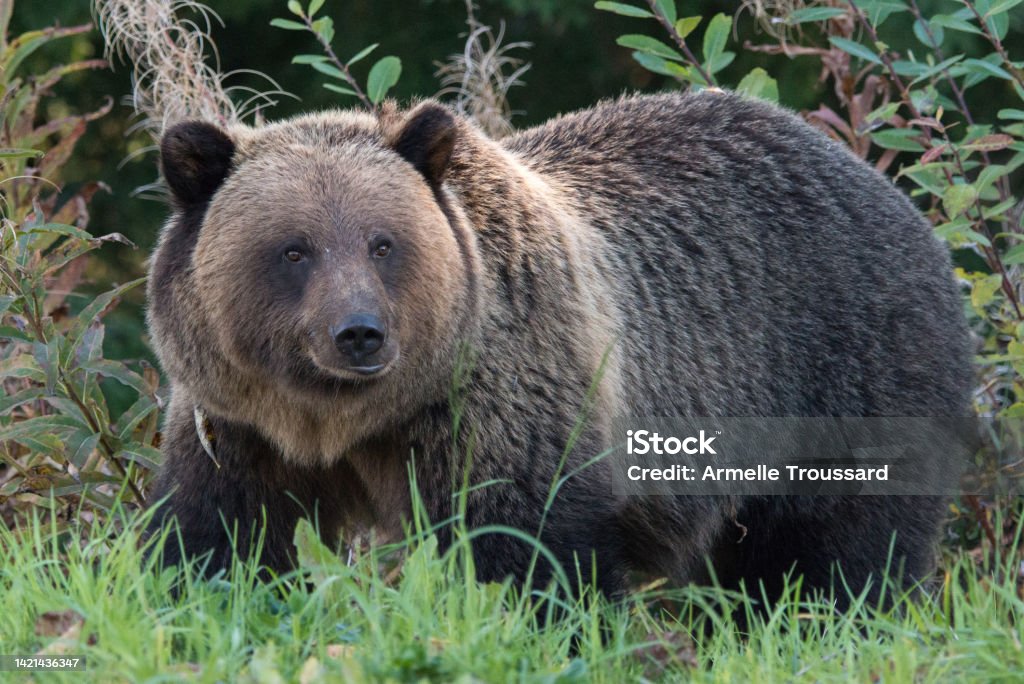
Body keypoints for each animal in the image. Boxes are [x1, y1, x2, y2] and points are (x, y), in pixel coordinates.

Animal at [146, 90, 972, 607]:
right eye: (294, 249)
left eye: (383, 243)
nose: (359, 332)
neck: (344, 421)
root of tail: (890, 190)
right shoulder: (238, 422)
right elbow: (216, 536)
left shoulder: (499, 394)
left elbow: (524, 545)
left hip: (844, 367)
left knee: (839, 546)